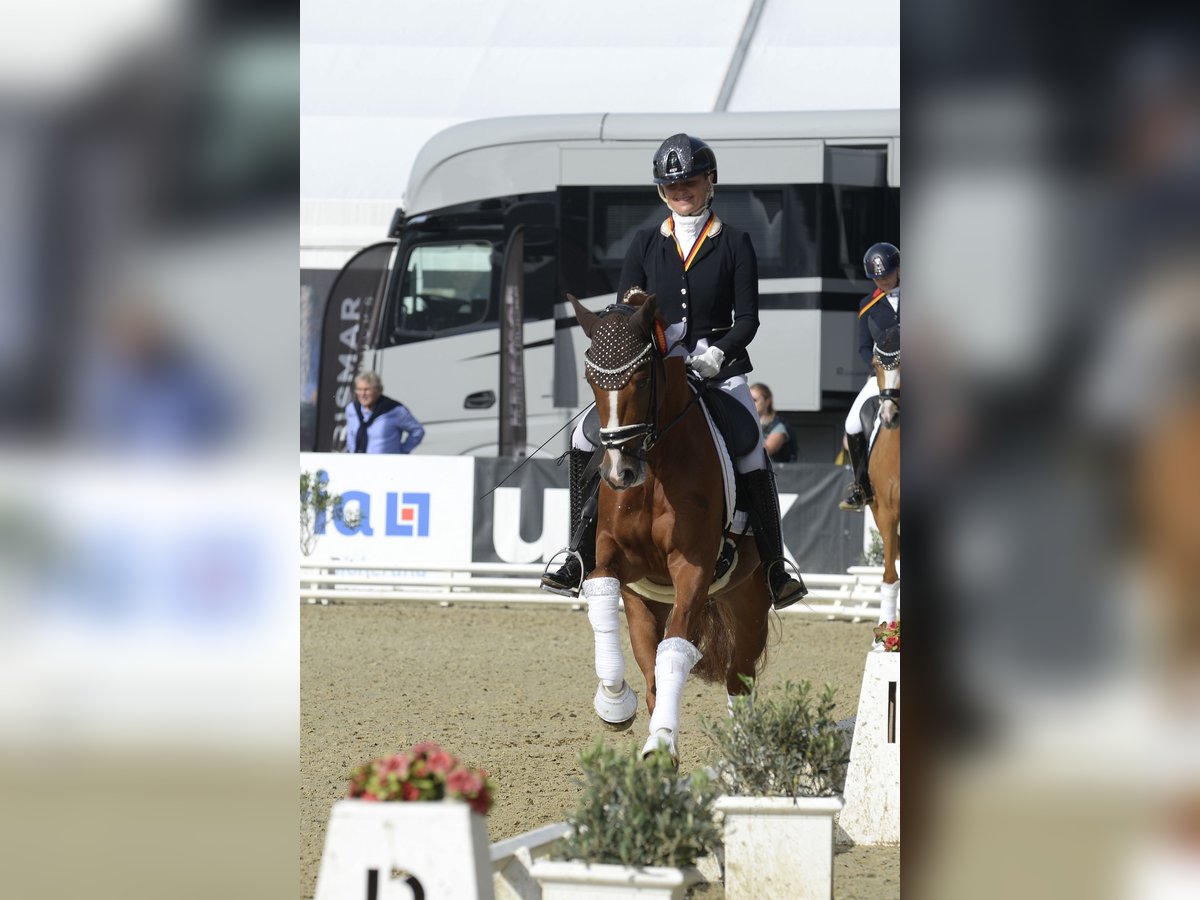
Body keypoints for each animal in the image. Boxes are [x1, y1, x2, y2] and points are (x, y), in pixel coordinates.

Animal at [568, 292, 768, 763]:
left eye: (642, 379)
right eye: (590, 379)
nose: (619, 473)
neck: (655, 468)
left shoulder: (692, 569)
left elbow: (676, 648)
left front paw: (661, 742)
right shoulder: (612, 558)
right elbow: (602, 599)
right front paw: (614, 703)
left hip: (749, 605)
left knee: (738, 678)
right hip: (646, 601)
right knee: (650, 664)